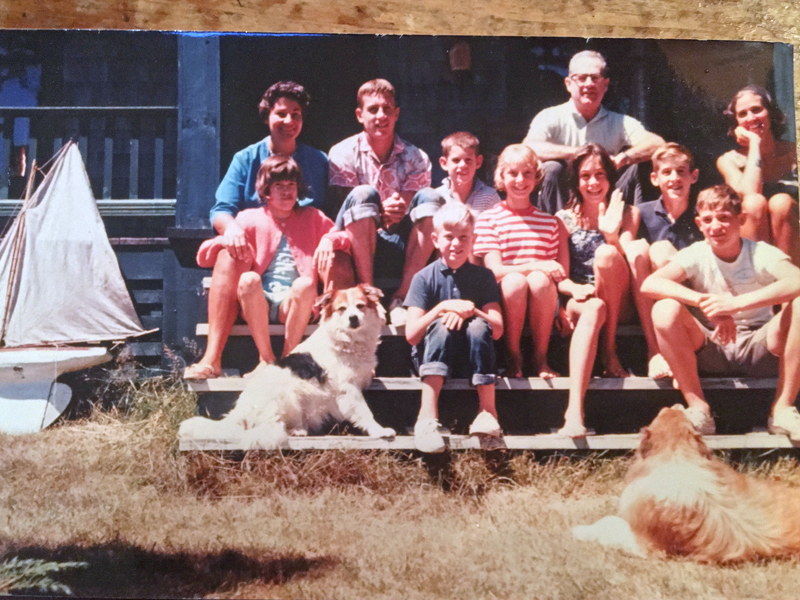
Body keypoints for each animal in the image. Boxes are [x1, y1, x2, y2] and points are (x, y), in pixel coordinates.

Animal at [180, 286, 396, 450]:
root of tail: (238, 414)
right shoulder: (348, 390)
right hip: (287, 394)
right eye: (341, 309)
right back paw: (293, 431)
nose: (353, 318)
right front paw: (380, 431)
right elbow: (365, 413)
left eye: (360, 306)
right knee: (269, 427)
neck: (347, 340)